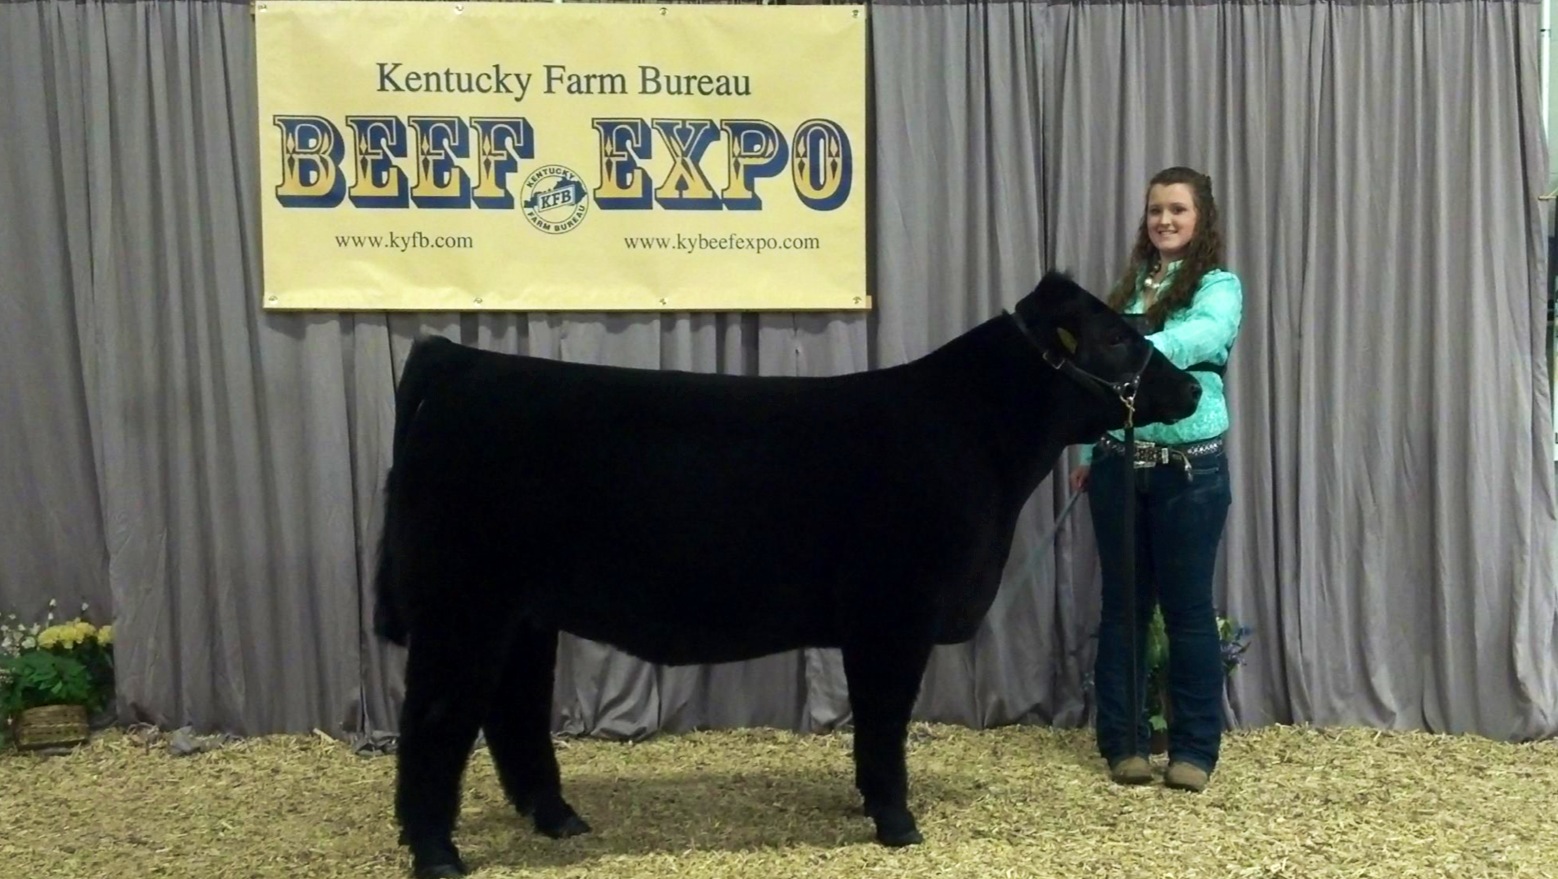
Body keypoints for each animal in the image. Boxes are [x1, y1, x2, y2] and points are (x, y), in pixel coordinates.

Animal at [371, 271, 1203, 877]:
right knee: (434, 720)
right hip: (462, 606)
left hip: (523, 614)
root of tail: (465, 361)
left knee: (511, 712)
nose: (1195, 386)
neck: (974, 439)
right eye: (1119, 336)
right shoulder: (894, 613)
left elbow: (875, 723)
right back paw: (437, 853)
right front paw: (897, 822)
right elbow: (884, 722)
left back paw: (558, 818)